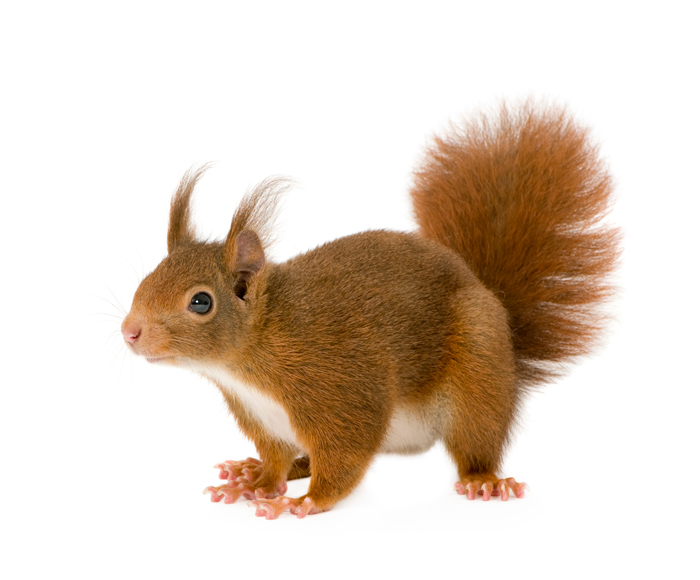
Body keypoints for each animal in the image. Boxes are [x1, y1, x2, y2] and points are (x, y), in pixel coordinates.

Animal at [121, 102, 620, 519]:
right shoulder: (263, 418)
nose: (129, 332)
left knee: (475, 440)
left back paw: (484, 480)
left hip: (479, 375)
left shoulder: (339, 386)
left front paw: (304, 503)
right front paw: (258, 481)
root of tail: (492, 301)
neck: (249, 358)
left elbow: (346, 453)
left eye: (201, 301)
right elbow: (276, 459)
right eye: (149, 276)